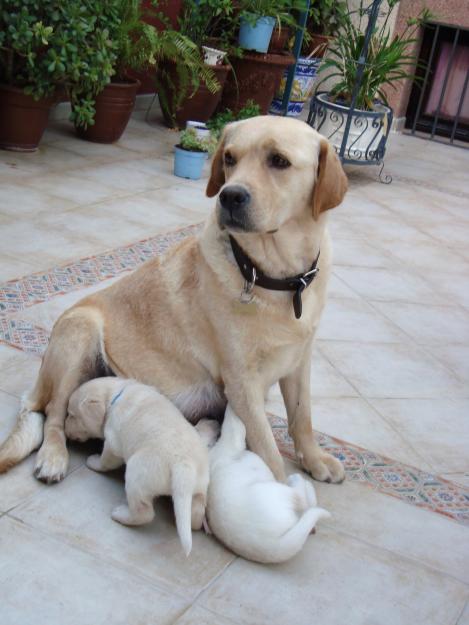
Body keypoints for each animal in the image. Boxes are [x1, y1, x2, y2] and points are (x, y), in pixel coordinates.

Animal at [0, 118, 348, 488]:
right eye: (230, 158)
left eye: (279, 160)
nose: (229, 195)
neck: (278, 278)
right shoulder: (242, 381)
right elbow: (269, 452)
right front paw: (282, 494)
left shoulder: (299, 360)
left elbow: (302, 416)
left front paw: (315, 460)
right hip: (79, 330)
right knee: (54, 414)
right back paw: (53, 457)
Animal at [63, 376, 216, 556]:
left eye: (72, 415)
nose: (65, 429)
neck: (114, 396)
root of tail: (184, 465)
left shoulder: (113, 442)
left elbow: (106, 460)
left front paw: (94, 461)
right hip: (199, 485)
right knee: (196, 512)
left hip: (137, 473)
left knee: (144, 512)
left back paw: (121, 515)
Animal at [205, 402, 330, 564]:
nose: (211, 419)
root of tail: (272, 545)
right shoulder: (232, 437)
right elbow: (234, 421)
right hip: (277, 492)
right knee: (302, 499)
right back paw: (300, 482)